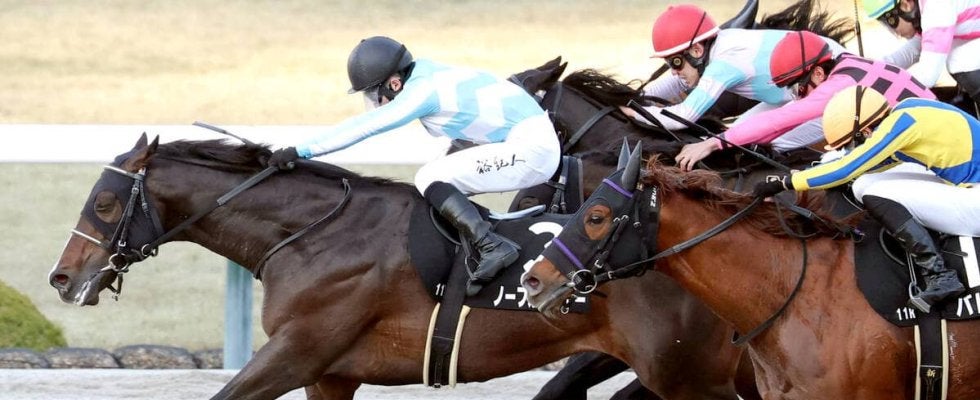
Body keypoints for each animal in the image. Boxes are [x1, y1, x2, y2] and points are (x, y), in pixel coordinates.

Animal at [49, 135, 755, 400]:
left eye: (104, 202)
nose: (61, 277)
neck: (310, 237)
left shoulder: (299, 349)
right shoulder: (331, 374)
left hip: (685, 373)